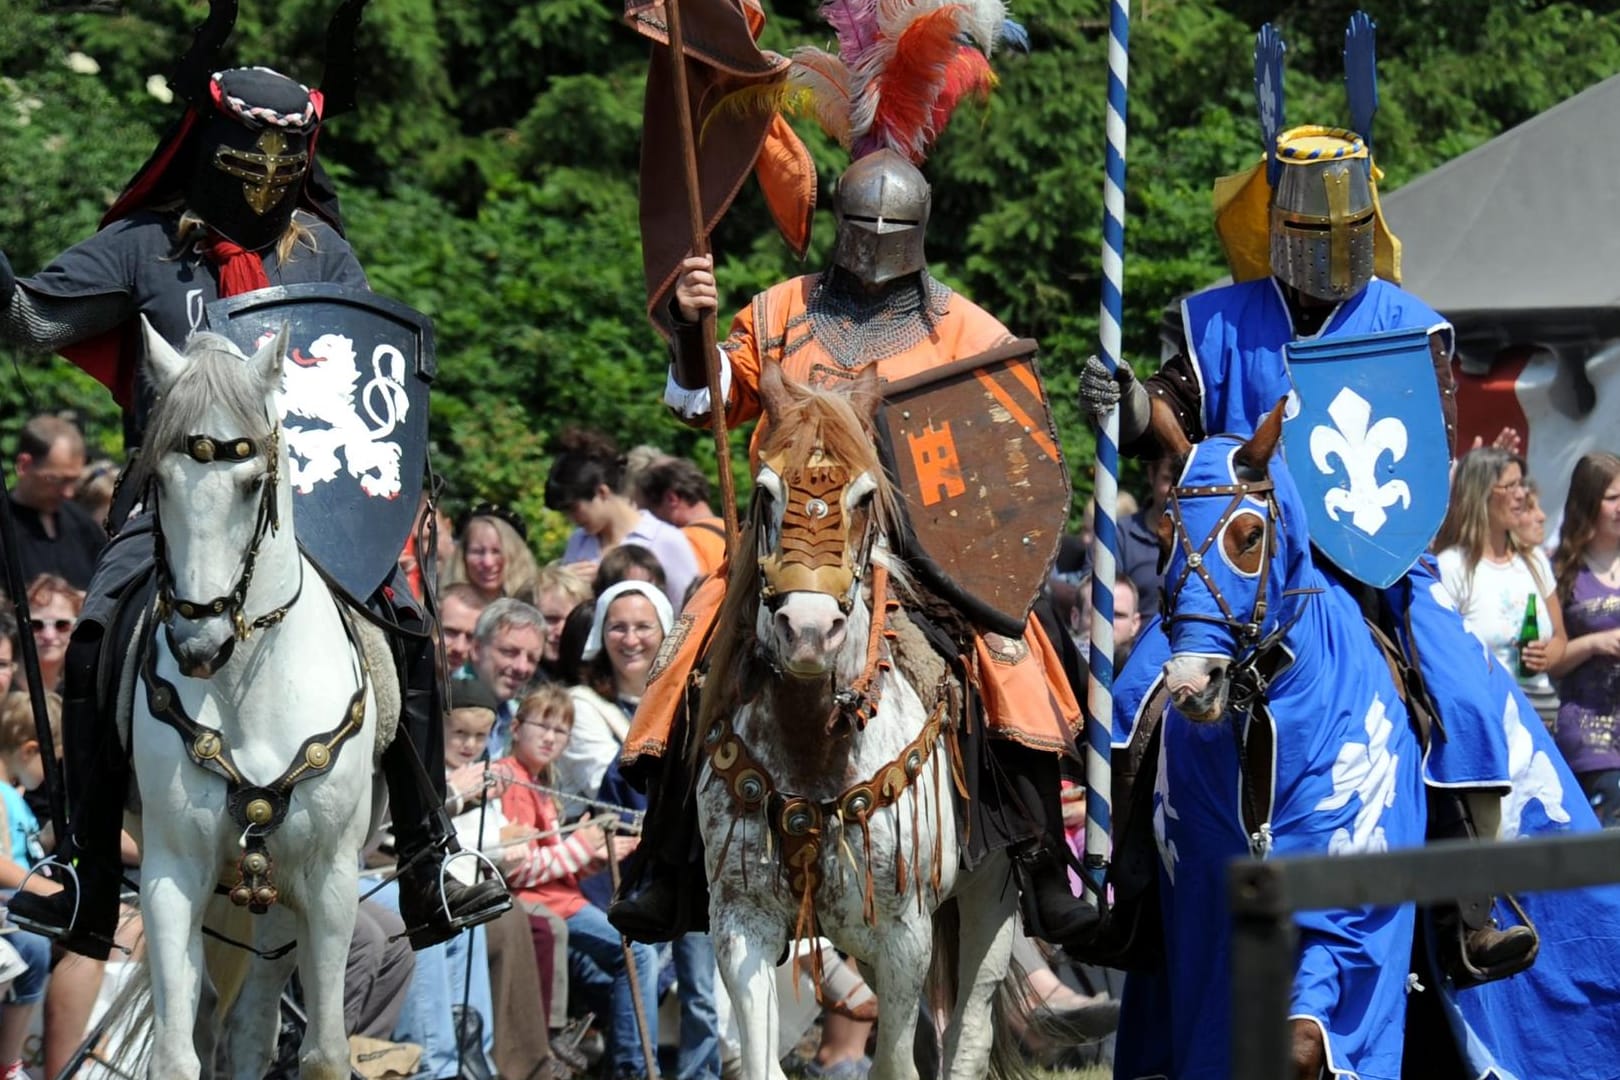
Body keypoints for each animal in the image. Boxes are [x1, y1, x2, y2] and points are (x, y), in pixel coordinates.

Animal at [124, 317, 390, 1075]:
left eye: (250, 484)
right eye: (158, 480)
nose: (196, 644)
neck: (248, 683)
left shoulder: (328, 882)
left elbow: (326, 1051)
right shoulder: (172, 873)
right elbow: (176, 1055)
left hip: (269, 901)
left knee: (250, 1027)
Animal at [693, 362, 1010, 1080]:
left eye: (864, 497)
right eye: (765, 492)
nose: (809, 632)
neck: (814, 744)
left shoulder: (904, 935)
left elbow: (896, 1064)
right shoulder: (741, 922)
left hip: (993, 893)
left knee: (969, 1033)